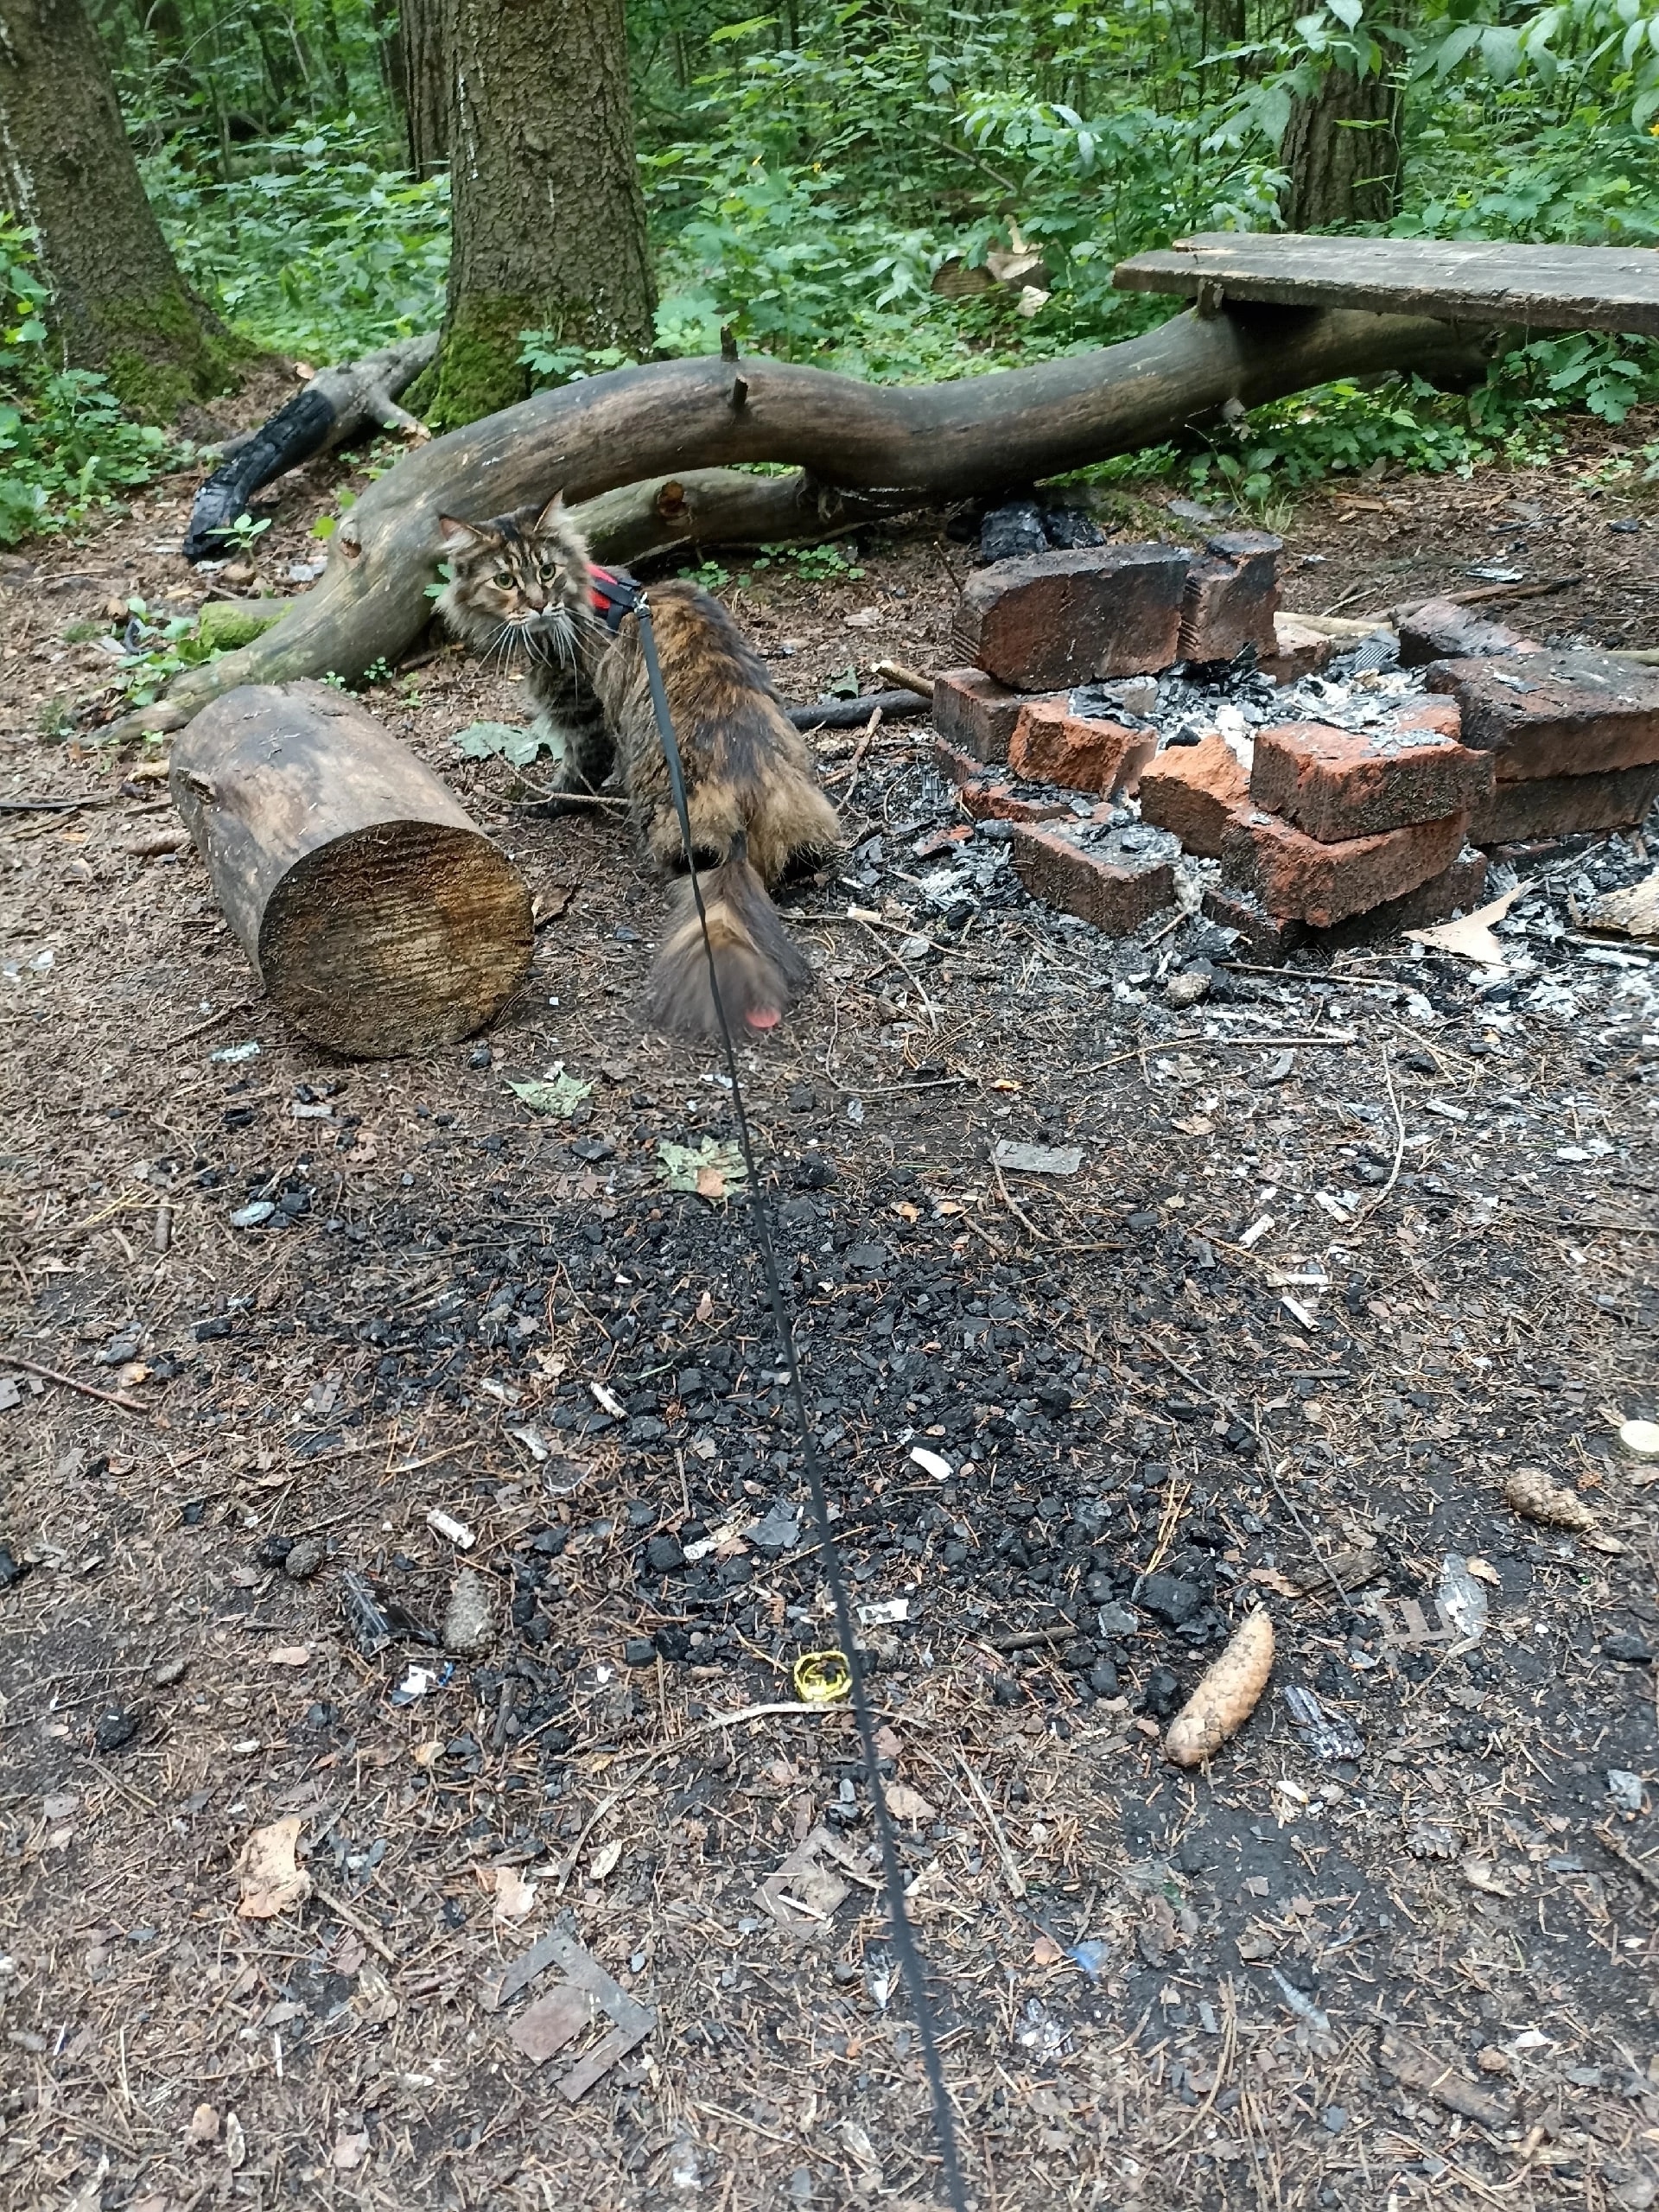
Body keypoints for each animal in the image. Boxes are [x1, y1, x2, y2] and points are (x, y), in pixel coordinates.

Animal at [436, 497, 840, 1037]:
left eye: (546, 571)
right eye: (504, 580)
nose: (540, 605)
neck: (585, 593)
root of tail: (740, 799)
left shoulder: (581, 710)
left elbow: (577, 768)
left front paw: (545, 801)